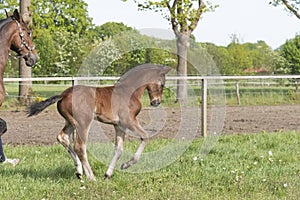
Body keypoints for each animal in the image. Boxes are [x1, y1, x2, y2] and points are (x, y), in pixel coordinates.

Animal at [27, 64, 171, 180]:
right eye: (162, 84)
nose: (156, 102)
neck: (129, 91)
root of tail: (63, 95)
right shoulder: (129, 121)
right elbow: (145, 137)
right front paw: (126, 165)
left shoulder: (119, 126)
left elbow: (118, 150)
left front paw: (108, 175)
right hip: (83, 122)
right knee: (79, 146)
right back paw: (91, 177)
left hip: (70, 122)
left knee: (62, 137)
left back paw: (79, 171)